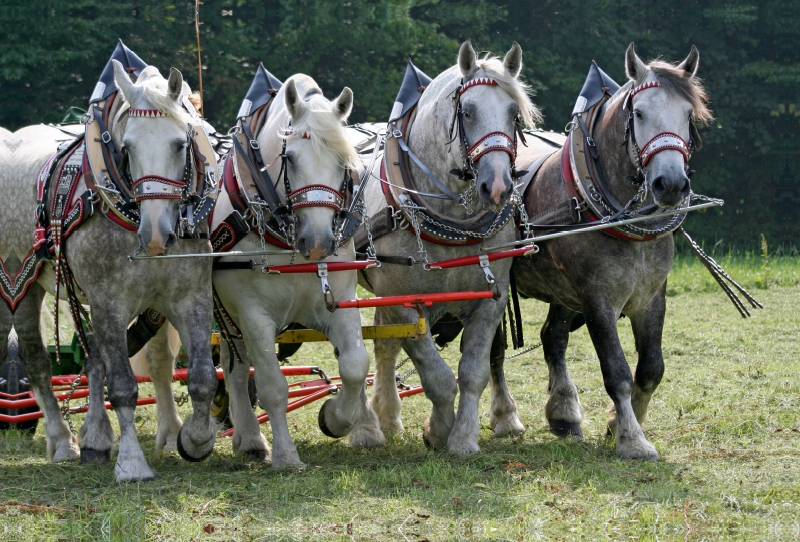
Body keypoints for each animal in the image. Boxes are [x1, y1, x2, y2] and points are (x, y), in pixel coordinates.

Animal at [211, 74, 386, 470]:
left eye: (344, 161)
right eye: (289, 158)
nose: (318, 241)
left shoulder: (339, 300)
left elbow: (355, 365)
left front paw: (336, 418)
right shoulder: (252, 314)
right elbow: (273, 386)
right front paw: (286, 455)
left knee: (234, 365)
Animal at [360, 40, 540, 452]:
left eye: (513, 113)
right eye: (468, 111)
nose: (497, 186)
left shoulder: (491, 302)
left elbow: (473, 371)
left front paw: (463, 437)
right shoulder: (405, 305)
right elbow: (437, 376)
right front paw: (439, 429)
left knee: (384, 345)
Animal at [494, 45, 712, 460]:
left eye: (688, 114)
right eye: (639, 113)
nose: (671, 184)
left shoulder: (650, 296)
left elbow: (651, 369)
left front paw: (618, 423)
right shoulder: (597, 298)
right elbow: (617, 371)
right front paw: (632, 438)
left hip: (563, 293)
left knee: (552, 337)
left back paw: (564, 413)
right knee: (491, 349)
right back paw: (505, 417)